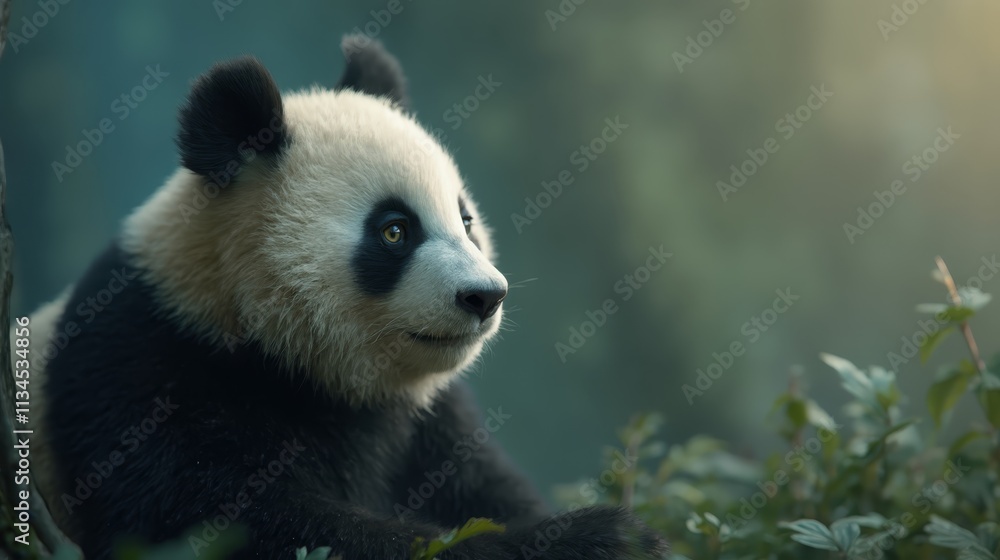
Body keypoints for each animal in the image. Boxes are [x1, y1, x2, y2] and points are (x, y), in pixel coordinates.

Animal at [21, 36, 669, 559]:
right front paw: (599, 539)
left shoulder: (424, 424)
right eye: (394, 231)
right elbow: (231, 525)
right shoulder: (146, 376)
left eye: (465, 221)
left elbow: (483, 486)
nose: (484, 296)